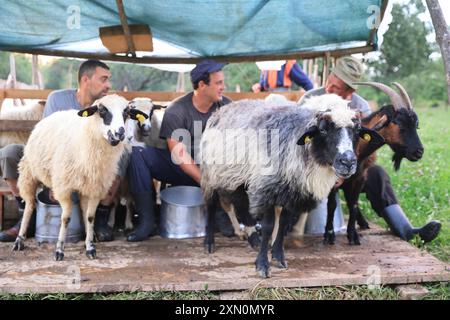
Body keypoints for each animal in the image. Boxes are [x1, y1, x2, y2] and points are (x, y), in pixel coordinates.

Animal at [12, 94, 148, 260]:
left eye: (126, 112)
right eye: (102, 110)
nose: (120, 133)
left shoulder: (96, 189)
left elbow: (90, 217)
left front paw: (90, 247)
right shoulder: (63, 188)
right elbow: (65, 218)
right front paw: (59, 250)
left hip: (83, 185)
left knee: (83, 210)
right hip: (28, 173)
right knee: (30, 205)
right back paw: (19, 240)